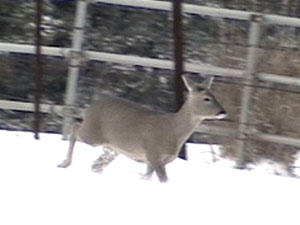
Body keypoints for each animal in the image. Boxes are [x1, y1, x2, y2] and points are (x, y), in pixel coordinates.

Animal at [58, 75, 226, 183]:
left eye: (215, 95)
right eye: (206, 98)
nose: (223, 111)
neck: (173, 131)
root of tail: (89, 107)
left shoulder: (155, 161)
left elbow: (147, 177)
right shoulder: (153, 154)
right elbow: (163, 179)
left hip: (110, 144)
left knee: (102, 154)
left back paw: (95, 167)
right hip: (93, 134)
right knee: (75, 127)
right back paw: (64, 163)